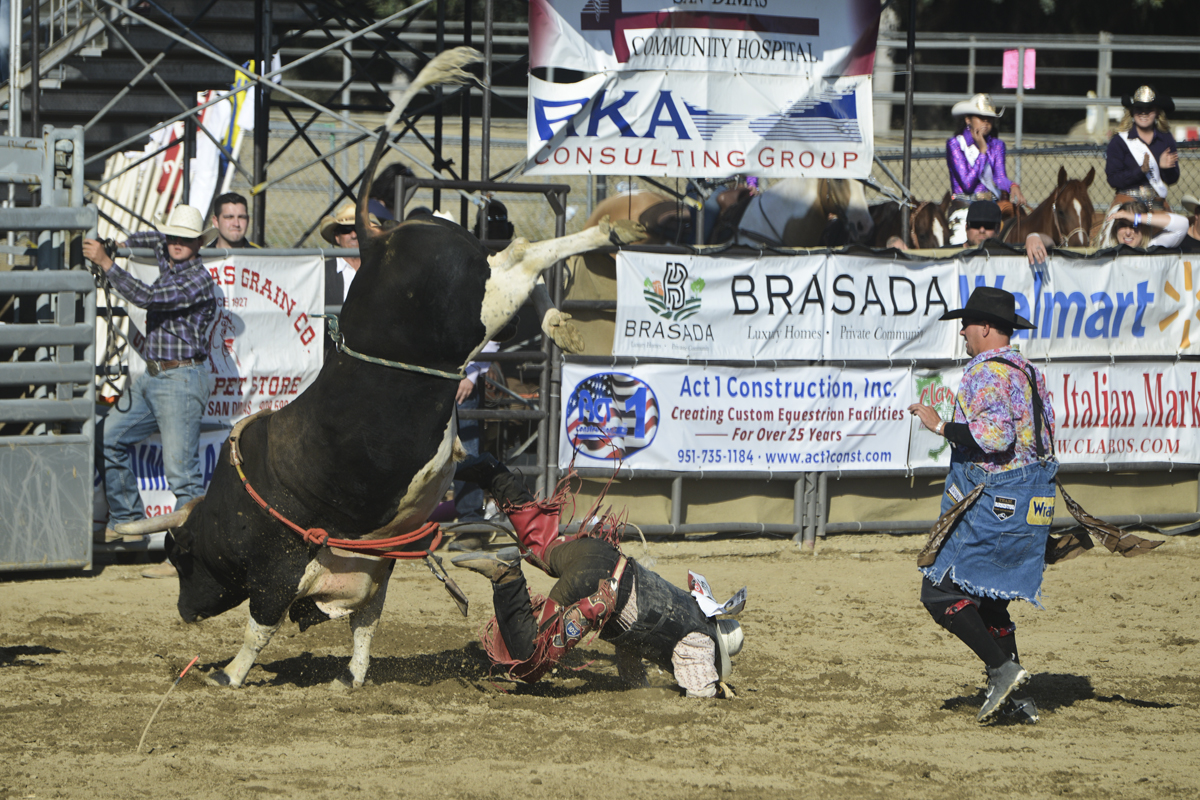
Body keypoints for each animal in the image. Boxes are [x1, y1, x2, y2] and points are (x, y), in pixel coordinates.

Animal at [117, 48, 648, 690]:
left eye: (181, 556)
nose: (184, 610)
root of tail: (376, 241)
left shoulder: (278, 567)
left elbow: (259, 626)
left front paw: (229, 675)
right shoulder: (372, 566)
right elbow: (365, 622)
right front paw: (353, 675)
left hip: (480, 306)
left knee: (524, 257)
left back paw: (610, 232)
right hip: (484, 291)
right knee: (522, 263)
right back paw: (560, 321)